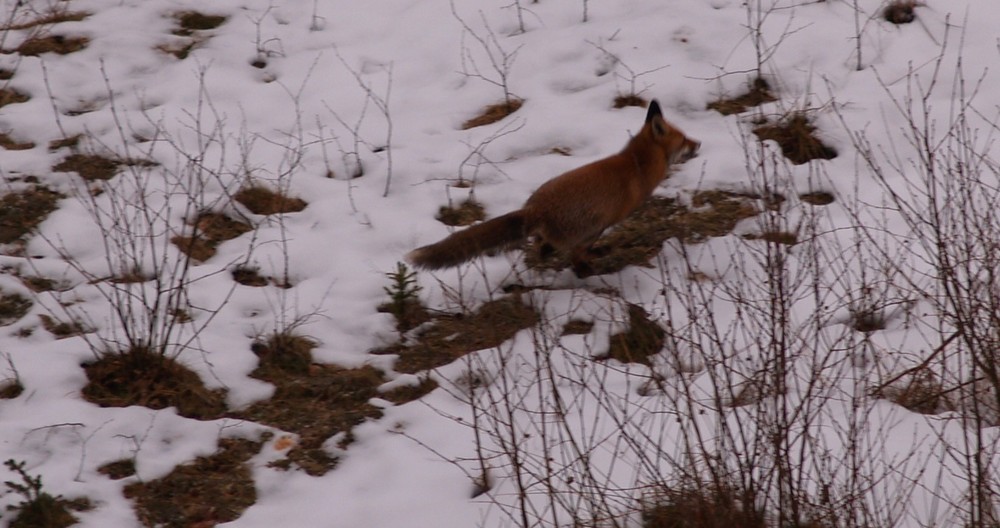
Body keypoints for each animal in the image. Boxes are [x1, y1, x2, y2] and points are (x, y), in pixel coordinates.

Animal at [402, 100, 700, 278]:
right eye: (684, 139)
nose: (699, 143)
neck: (637, 164)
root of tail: (536, 208)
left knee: (544, 249)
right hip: (593, 225)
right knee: (574, 254)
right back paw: (593, 263)